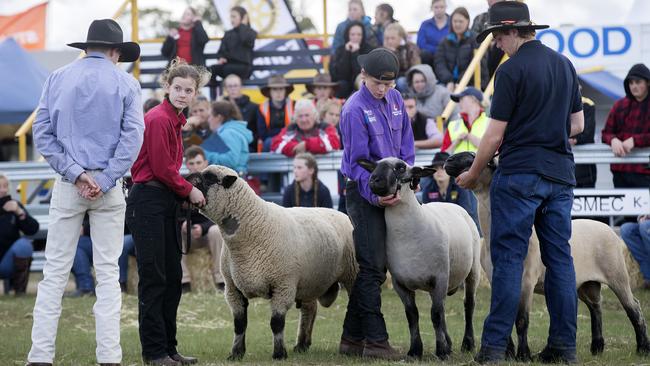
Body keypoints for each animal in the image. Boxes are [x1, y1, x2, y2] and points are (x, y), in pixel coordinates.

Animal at [185, 165, 356, 360]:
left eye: (210, 178)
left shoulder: (283, 285)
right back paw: (302, 344)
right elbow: (239, 324)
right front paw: (236, 353)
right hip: (309, 281)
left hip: (350, 274)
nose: (186, 179)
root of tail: (340, 212)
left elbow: (276, 323)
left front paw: (279, 353)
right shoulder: (232, 288)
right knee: (309, 309)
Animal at [356, 156, 478, 358]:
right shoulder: (400, 283)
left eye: (400, 167)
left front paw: (441, 350)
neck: (407, 233)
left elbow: (435, 315)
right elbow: (413, 315)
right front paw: (415, 350)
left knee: (468, 305)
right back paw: (449, 343)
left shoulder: (440, 276)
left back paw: (467, 344)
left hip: (472, 271)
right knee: (443, 308)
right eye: (375, 166)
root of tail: (451, 204)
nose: (374, 180)